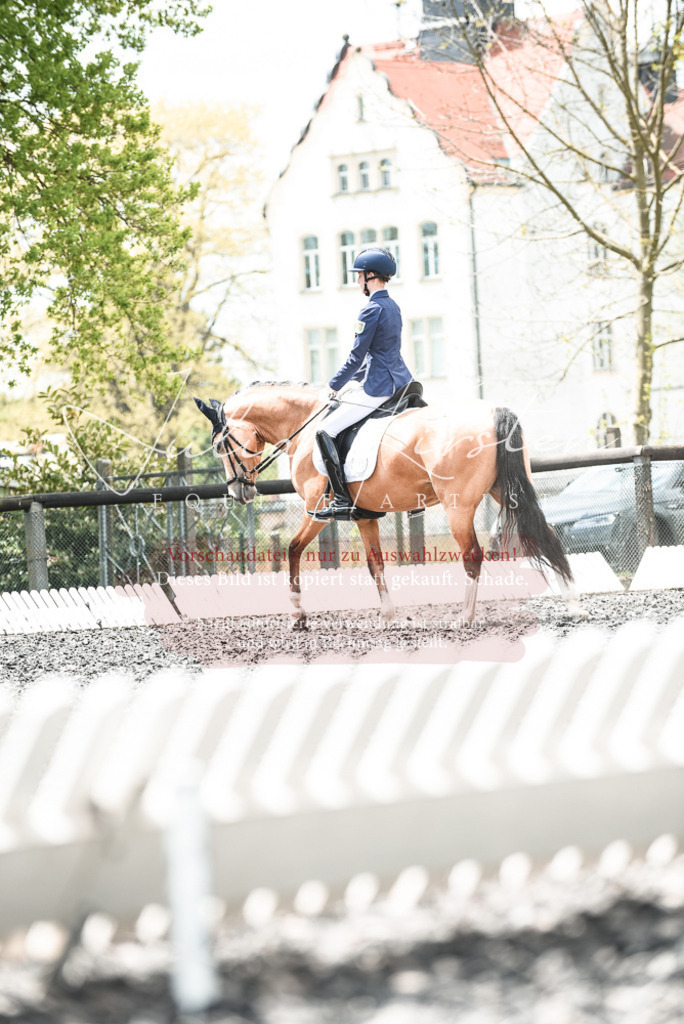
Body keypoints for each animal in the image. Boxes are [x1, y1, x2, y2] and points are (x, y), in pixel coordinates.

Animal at [195, 382, 582, 630]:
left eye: (218, 446)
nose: (238, 492)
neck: (306, 425)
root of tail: (494, 411)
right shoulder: (364, 516)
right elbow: (375, 564)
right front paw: (387, 616)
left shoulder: (316, 510)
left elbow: (292, 549)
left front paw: (298, 616)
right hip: (509, 493)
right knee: (546, 535)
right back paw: (573, 603)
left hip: (458, 507)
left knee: (473, 555)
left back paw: (465, 617)